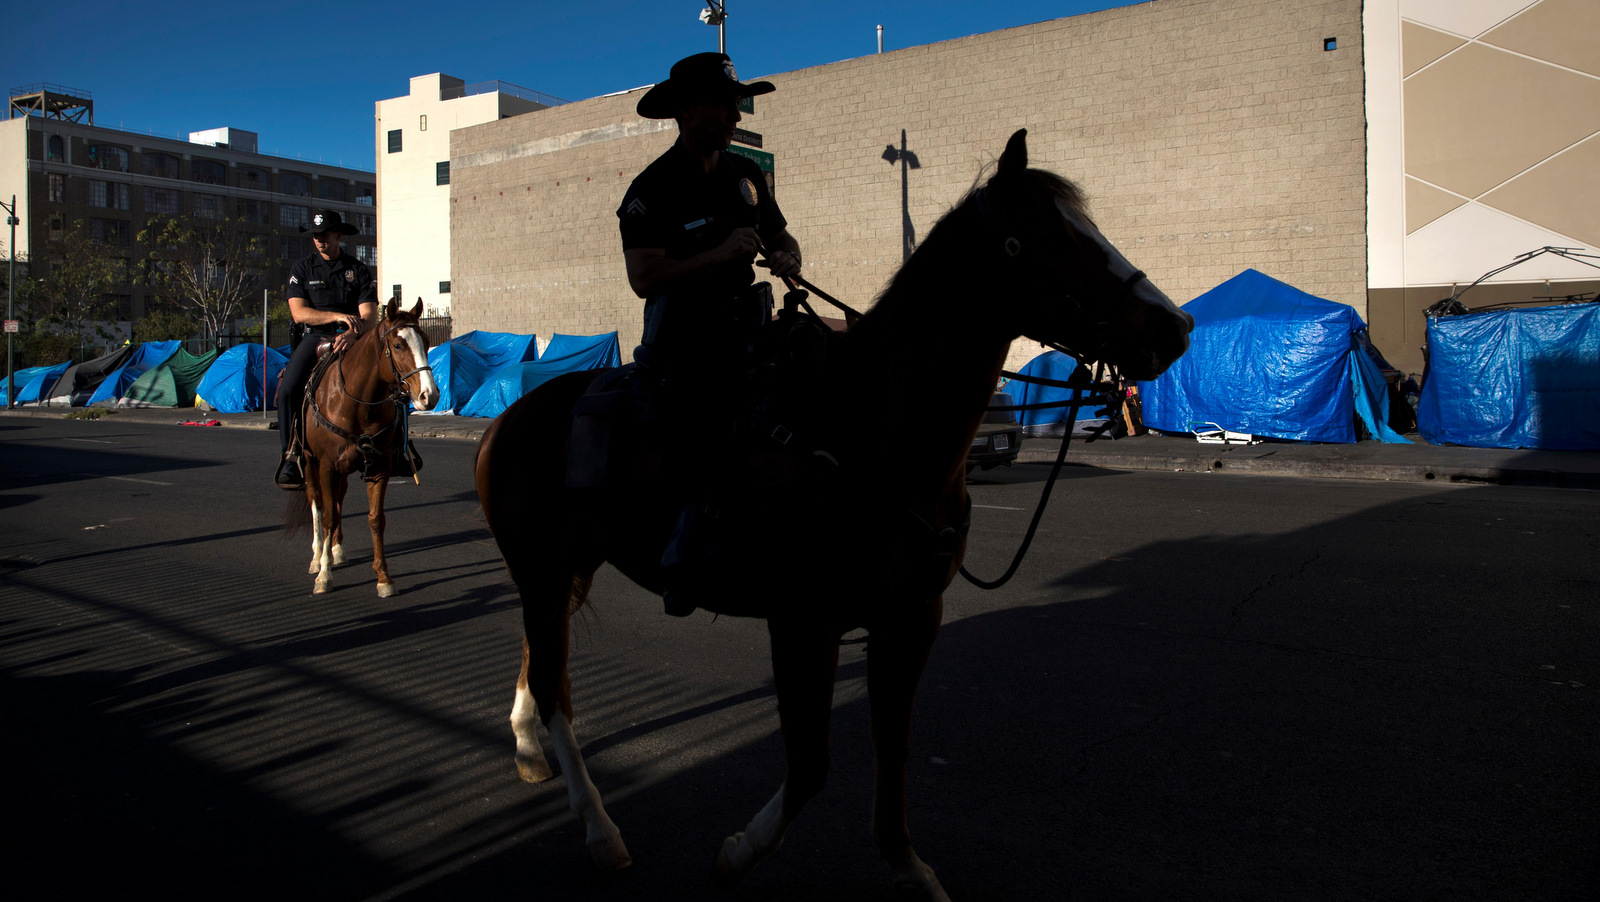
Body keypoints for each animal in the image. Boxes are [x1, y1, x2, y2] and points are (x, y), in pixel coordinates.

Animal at [288, 295, 438, 594]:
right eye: (398, 345)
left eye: (426, 342)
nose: (430, 395)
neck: (357, 404)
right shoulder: (325, 466)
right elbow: (327, 515)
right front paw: (324, 575)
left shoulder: (379, 467)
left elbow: (375, 519)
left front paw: (383, 577)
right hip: (310, 464)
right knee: (317, 502)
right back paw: (317, 556)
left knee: (338, 501)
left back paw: (336, 550)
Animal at [470, 130, 1190, 895]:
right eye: (1043, 236)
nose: (1177, 327)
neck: (872, 430)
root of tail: (506, 421)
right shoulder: (802, 624)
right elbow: (811, 765)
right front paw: (739, 852)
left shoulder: (911, 618)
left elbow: (893, 748)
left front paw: (909, 869)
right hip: (544, 571)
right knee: (555, 686)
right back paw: (600, 829)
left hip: (564, 571)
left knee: (543, 664)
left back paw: (529, 748)